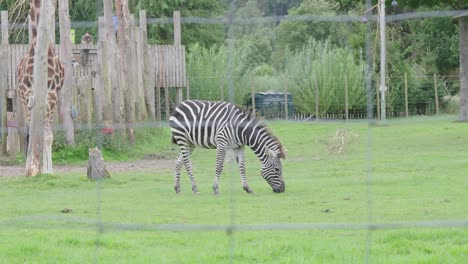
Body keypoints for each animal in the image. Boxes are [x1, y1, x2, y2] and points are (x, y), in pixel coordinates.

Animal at [16, 0, 64, 176]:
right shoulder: (28, 96)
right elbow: (33, 134)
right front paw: (31, 169)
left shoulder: (52, 95)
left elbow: (47, 136)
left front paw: (48, 171)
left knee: (44, 133)